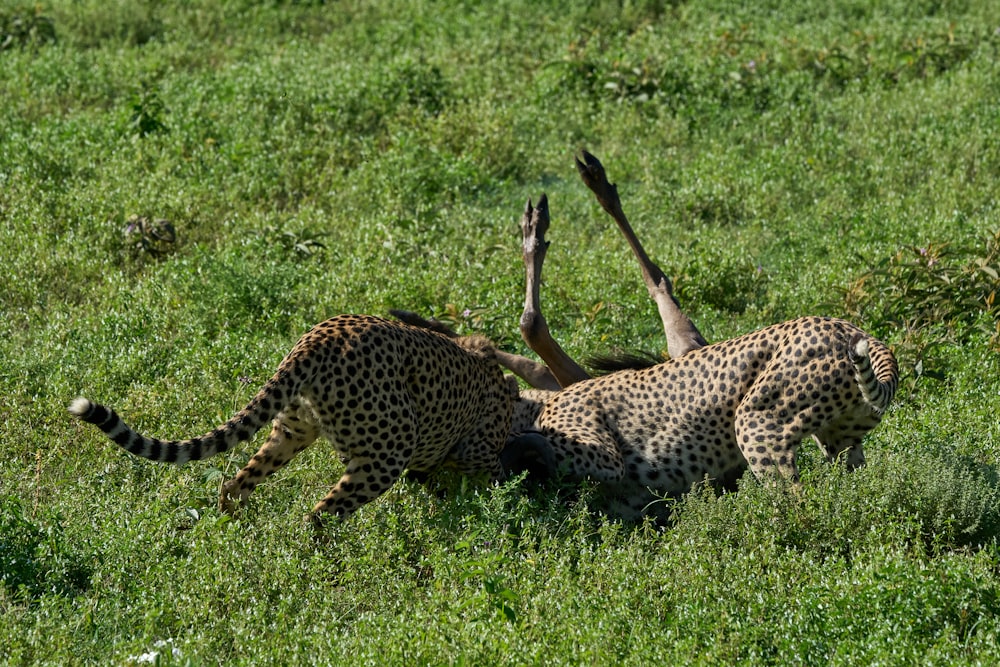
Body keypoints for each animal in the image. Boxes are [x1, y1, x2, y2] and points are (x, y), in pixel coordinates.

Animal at [68, 314, 516, 528]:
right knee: (318, 516)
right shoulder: (478, 453)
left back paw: (231, 534)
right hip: (388, 451)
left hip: (292, 429)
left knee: (235, 485)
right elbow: (494, 481)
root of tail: (320, 336)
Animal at [504, 316, 904, 520]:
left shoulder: (605, 454)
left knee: (794, 499)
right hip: (841, 439)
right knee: (854, 483)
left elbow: (541, 445)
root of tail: (849, 326)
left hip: (756, 422)